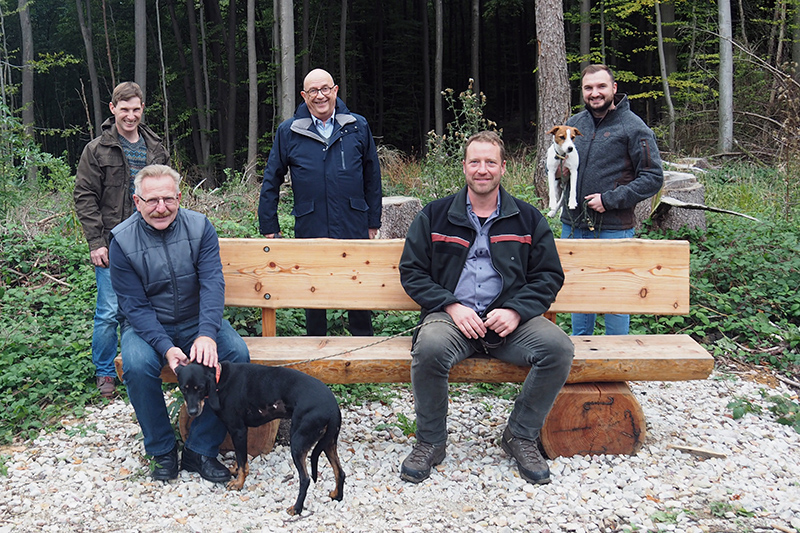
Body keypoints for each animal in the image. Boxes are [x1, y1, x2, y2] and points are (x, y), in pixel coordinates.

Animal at [177, 360, 346, 512]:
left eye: (199, 388)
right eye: (184, 389)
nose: (192, 412)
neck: (220, 378)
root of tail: (332, 408)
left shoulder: (238, 430)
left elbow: (242, 461)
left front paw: (238, 483)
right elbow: (240, 459)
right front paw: (235, 470)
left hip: (298, 443)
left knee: (305, 479)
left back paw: (296, 509)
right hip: (328, 443)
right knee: (340, 472)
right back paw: (337, 496)